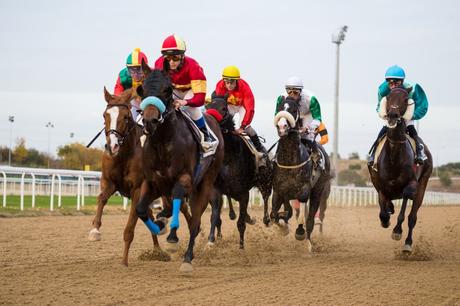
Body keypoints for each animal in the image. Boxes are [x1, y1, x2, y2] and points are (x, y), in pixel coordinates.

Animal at [88, 88, 164, 266]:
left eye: (126, 117)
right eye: (105, 115)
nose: (113, 146)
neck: (124, 155)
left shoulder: (137, 189)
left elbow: (129, 229)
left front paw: (124, 261)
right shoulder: (109, 183)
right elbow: (101, 199)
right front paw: (95, 230)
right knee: (150, 215)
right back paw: (158, 250)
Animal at [135, 65, 225, 272]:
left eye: (167, 90)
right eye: (141, 89)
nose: (150, 120)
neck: (162, 142)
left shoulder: (184, 179)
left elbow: (177, 199)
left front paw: (172, 234)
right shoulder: (153, 182)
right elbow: (141, 210)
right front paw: (159, 227)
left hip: (205, 183)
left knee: (196, 220)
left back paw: (188, 258)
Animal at [206, 95, 274, 249]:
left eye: (224, 108)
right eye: (207, 106)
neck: (228, 156)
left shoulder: (244, 193)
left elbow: (241, 223)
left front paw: (241, 246)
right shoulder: (216, 191)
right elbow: (215, 217)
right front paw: (211, 240)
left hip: (265, 181)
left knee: (266, 197)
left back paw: (266, 219)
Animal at [274, 97, 330, 251]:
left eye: (294, 110)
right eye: (279, 107)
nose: (282, 126)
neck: (289, 162)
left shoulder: (304, 191)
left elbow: (301, 217)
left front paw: (299, 232)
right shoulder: (279, 190)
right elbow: (276, 214)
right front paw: (283, 226)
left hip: (318, 191)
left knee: (310, 220)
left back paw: (309, 243)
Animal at [368, 86, 434, 253]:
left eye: (406, 99)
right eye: (388, 97)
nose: (393, 115)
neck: (394, 156)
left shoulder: (411, 183)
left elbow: (406, 199)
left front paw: (397, 230)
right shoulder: (380, 185)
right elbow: (383, 211)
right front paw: (386, 219)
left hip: (423, 184)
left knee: (412, 217)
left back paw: (407, 244)